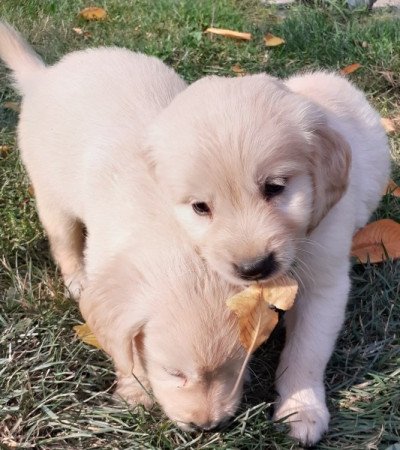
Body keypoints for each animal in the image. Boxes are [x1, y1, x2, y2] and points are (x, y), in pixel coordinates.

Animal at [145, 71, 390, 442]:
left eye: (275, 187)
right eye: (200, 207)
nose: (254, 268)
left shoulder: (324, 281)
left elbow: (306, 351)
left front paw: (302, 408)